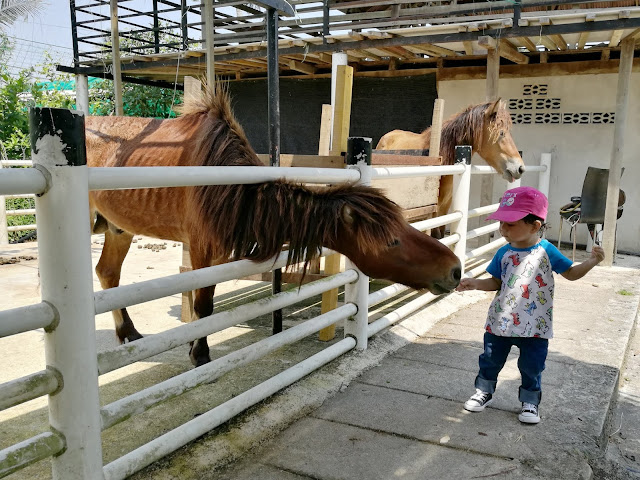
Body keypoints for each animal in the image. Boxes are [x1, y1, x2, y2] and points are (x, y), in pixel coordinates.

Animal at [87, 86, 462, 366]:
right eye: (391, 242)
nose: (455, 269)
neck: (229, 185)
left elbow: (201, 303)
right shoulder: (203, 248)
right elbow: (203, 306)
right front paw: (200, 355)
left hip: (117, 228)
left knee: (108, 273)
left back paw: (128, 334)